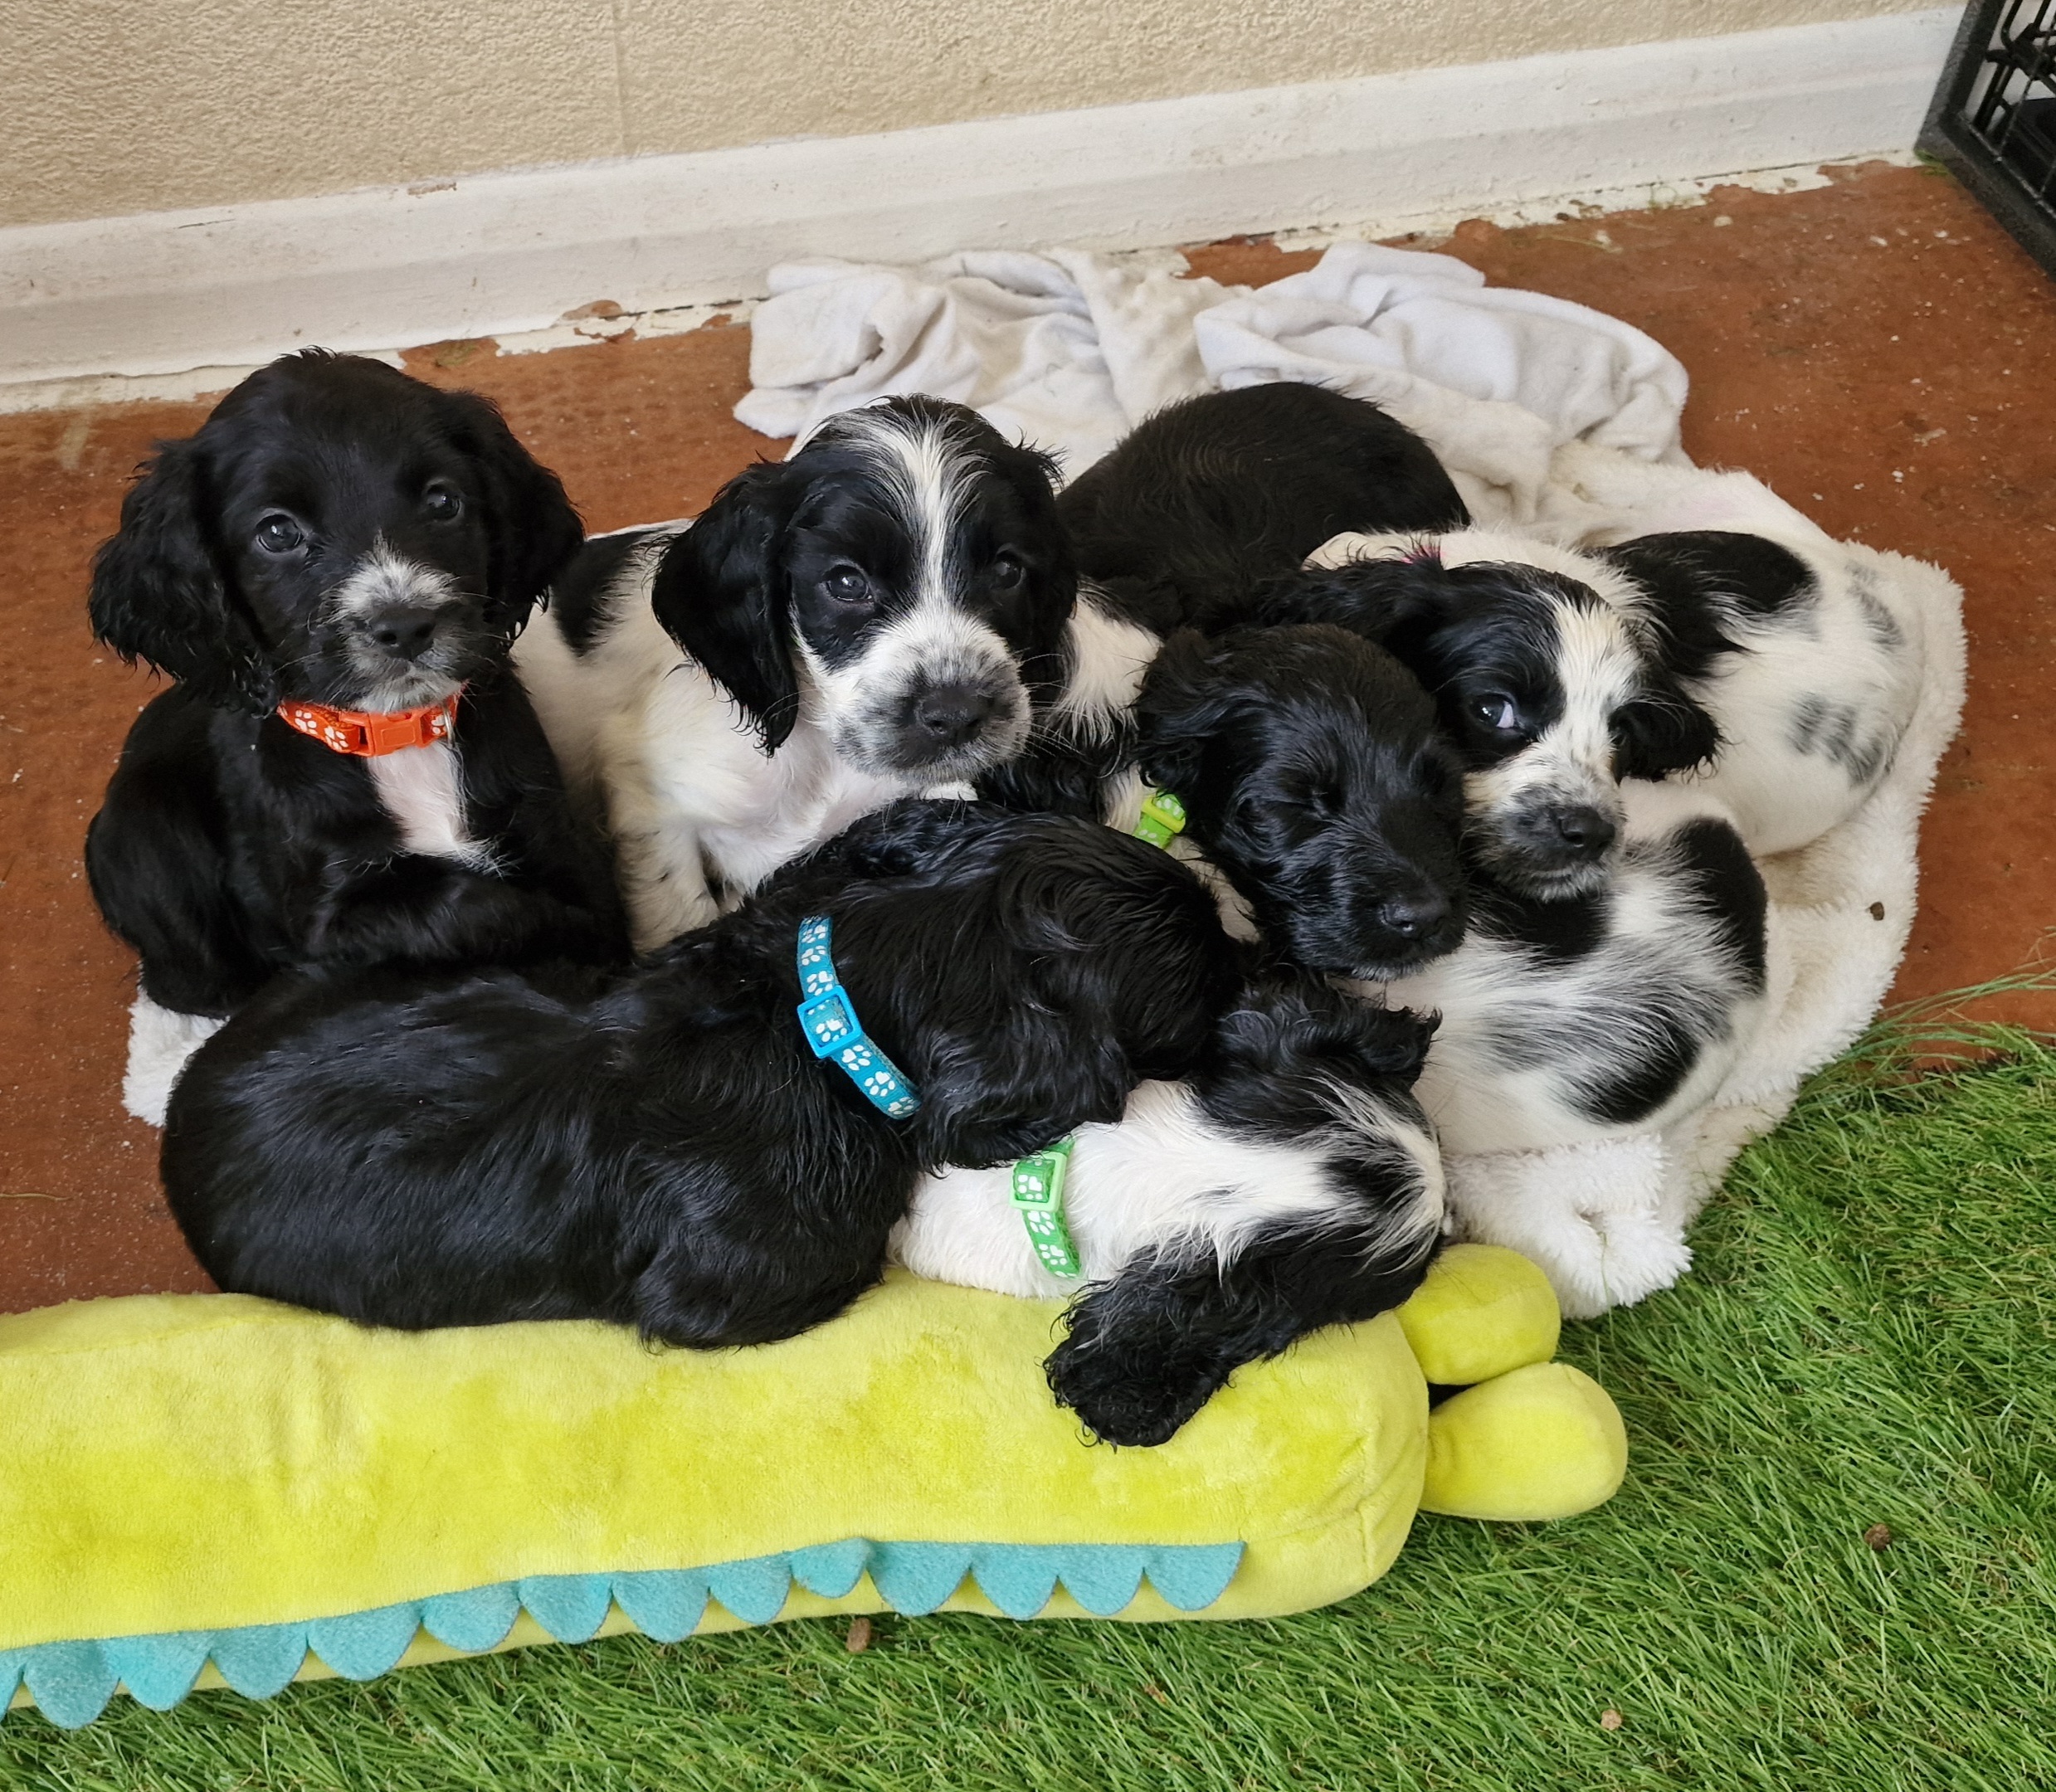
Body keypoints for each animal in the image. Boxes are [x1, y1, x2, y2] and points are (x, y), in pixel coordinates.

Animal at [514, 394, 1077, 953]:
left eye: (1007, 571)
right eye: (846, 582)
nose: (957, 716)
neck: (823, 756)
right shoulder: (649, 799)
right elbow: (677, 910)